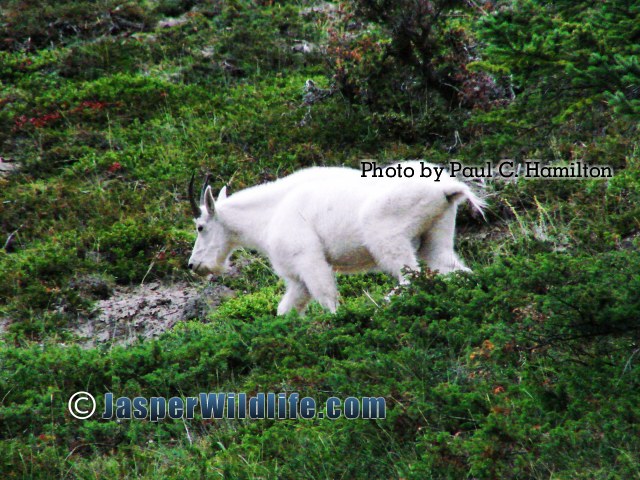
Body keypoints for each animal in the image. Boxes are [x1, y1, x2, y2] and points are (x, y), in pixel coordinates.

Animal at [188, 162, 488, 316]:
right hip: (436, 234)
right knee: (455, 269)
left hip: (387, 237)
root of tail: (447, 188)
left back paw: (382, 305)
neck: (268, 215)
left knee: (409, 278)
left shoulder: (309, 260)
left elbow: (327, 298)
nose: (193, 265)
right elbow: (286, 310)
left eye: (200, 227)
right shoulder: (298, 280)